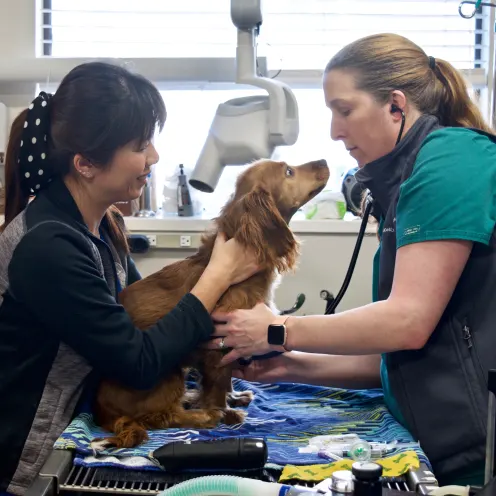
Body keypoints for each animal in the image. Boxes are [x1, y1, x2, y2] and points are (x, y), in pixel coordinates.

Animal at [93, 158, 330, 450]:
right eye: (289, 171)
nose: (324, 161)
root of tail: (101, 410)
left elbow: (224, 383)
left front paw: (233, 398)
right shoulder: (218, 347)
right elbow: (217, 386)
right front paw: (224, 412)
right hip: (168, 372)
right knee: (160, 416)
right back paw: (201, 416)